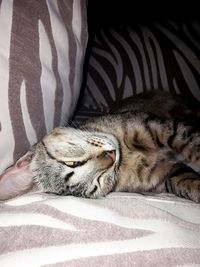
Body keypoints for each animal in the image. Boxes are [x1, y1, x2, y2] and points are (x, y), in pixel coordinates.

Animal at [0, 91, 200, 202]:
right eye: (98, 182)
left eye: (72, 163)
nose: (112, 155)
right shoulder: (165, 174)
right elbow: (187, 182)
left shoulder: (157, 125)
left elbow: (191, 143)